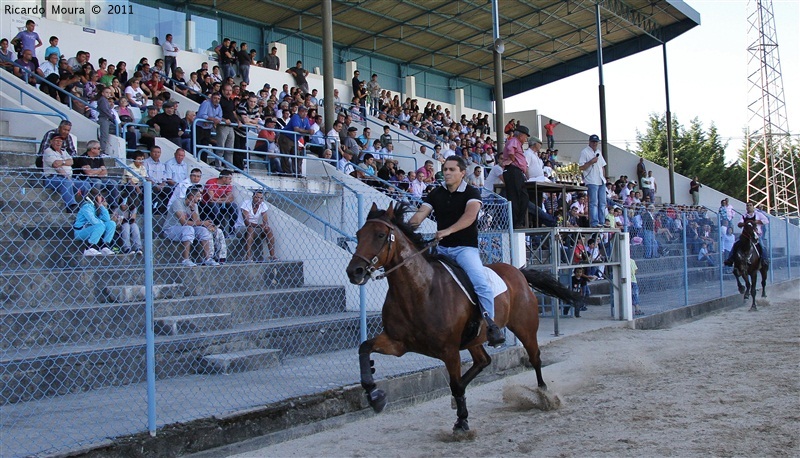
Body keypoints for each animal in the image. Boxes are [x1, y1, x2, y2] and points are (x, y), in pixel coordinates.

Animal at [344, 202, 576, 432]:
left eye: (380, 235)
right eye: (358, 234)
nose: (354, 272)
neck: (419, 291)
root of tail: (518, 272)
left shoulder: (449, 350)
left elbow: (454, 384)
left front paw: (462, 421)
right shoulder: (398, 343)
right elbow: (364, 348)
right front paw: (375, 396)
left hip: (524, 327)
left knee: (535, 358)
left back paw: (545, 396)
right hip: (475, 338)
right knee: (483, 361)